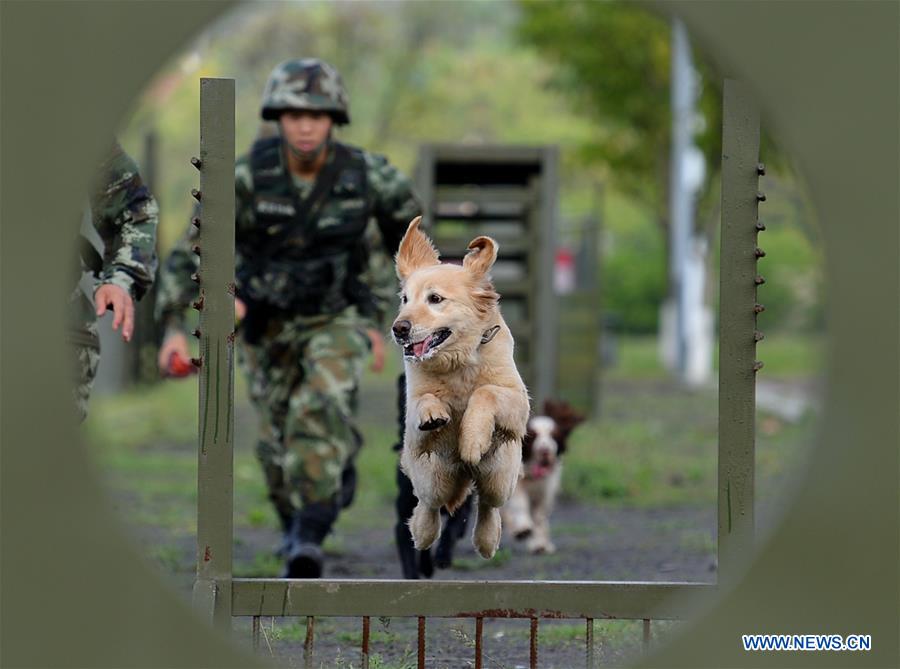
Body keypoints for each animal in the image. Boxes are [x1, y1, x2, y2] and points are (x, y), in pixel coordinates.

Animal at [392, 217, 528, 556]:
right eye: (404, 299)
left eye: (435, 299)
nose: (399, 329)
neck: (458, 359)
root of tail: (464, 475)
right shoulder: (412, 411)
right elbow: (424, 399)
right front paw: (434, 412)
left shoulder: (519, 401)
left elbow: (485, 391)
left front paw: (472, 440)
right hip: (432, 475)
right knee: (428, 505)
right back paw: (423, 532)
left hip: (499, 474)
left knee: (489, 506)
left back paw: (487, 540)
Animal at [502, 402, 588, 552]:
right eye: (533, 436)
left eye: (554, 436)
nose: (545, 451)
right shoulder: (516, 485)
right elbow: (520, 504)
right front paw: (523, 528)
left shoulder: (545, 491)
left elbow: (539, 517)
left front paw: (540, 544)